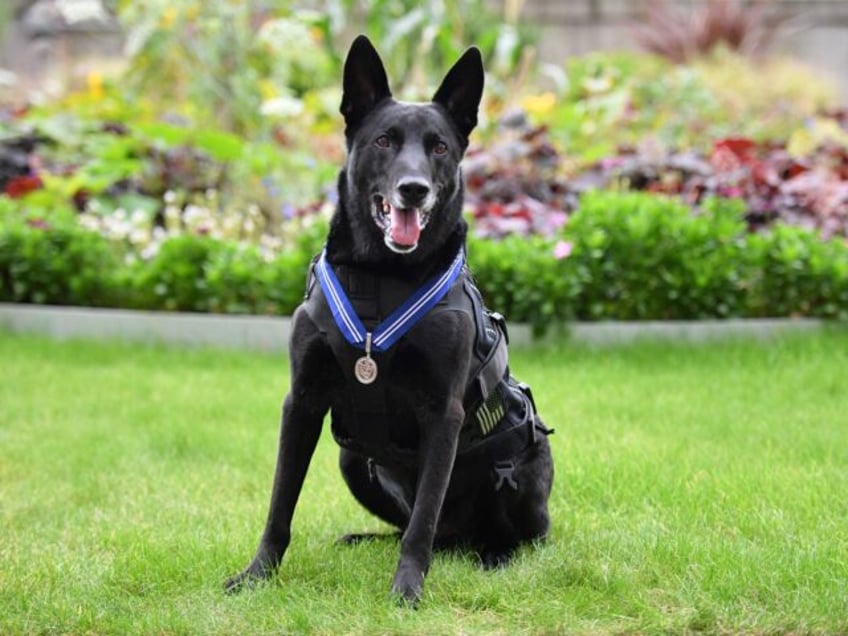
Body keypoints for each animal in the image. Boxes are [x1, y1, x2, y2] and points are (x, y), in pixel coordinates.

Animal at [225, 34, 552, 608]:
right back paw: (364, 539)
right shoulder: (302, 401)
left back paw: (494, 556)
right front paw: (258, 574)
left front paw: (407, 590)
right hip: (350, 459)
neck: (381, 277)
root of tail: (457, 543)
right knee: (405, 526)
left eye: (439, 147)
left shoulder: (442, 414)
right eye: (383, 141)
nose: (413, 189)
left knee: (507, 536)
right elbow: (279, 504)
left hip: (524, 462)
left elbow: (421, 521)